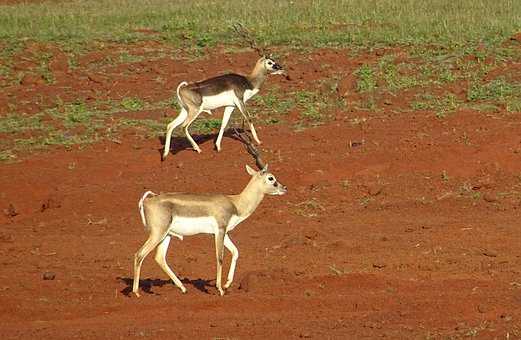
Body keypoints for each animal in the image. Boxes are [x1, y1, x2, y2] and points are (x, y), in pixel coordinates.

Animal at [132, 163, 286, 296]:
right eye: (271, 178)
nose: (284, 188)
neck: (235, 203)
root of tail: (147, 200)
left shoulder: (224, 232)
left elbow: (236, 252)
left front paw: (227, 284)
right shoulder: (220, 231)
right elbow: (220, 258)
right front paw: (220, 289)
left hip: (167, 235)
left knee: (159, 257)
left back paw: (183, 288)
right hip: (157, 234)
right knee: (139, 254)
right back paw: (136, 293)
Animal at [161, 23, 286, 160]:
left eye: (274, 61)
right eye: (270, 62)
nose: (281, 68)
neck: (248, 81)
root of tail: (182, 88)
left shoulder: (230, 106)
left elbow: (223, 124)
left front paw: (218, 146)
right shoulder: (240, 101)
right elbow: (249, 118)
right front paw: (258, 141)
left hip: (185, 110)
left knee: (170, 125)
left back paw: (165, 155)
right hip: (195, 111)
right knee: (184, 127)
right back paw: (197, 149)